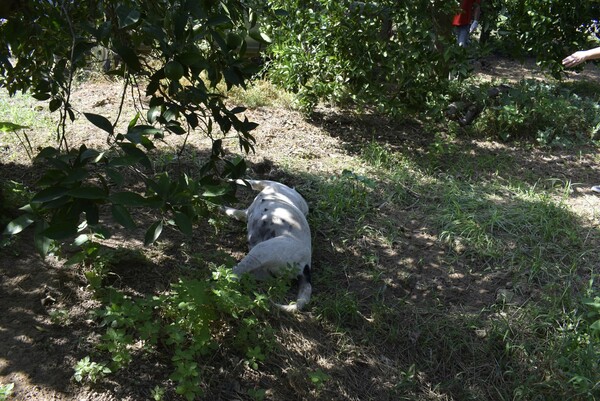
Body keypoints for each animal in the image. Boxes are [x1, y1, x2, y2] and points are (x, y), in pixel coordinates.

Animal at [221, 179, 314, 312]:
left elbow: (247, 181)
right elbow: (234, 211)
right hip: (264, 270)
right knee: (244, 275)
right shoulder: (246, 212)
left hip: (262, 251)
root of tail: (306, 265)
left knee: (236, 273)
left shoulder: (264, 183)